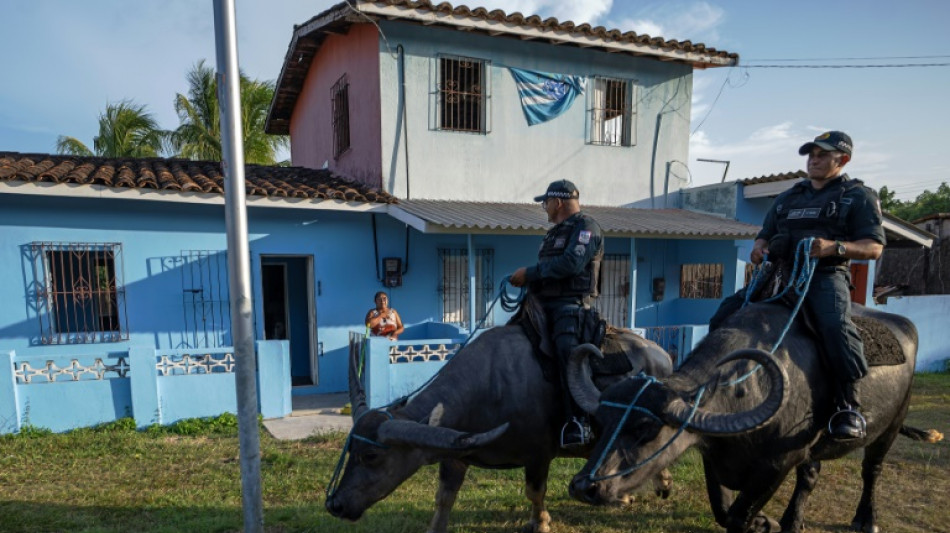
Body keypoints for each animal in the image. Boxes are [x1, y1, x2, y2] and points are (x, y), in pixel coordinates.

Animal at [328, 320, 676, 532]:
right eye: (350, 450)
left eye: (372, 456)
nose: (335, 503)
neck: (491, 387)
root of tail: (662, 356)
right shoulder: (455, 455)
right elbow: (444, 497)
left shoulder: (538, 455)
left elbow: (534, 492)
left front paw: (541, 522)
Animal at [564, 304, 944, 532]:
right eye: (604, 423)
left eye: (646, 429)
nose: (585, 487)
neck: (749, 388)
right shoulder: (713, 455)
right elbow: (722, 508)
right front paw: (767, 522)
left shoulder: (777, 462)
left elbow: (737, 515)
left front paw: (762, 522)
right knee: (811, 476)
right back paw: (792, 521)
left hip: (891, 424)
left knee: (872, 470)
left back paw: (866, 519)